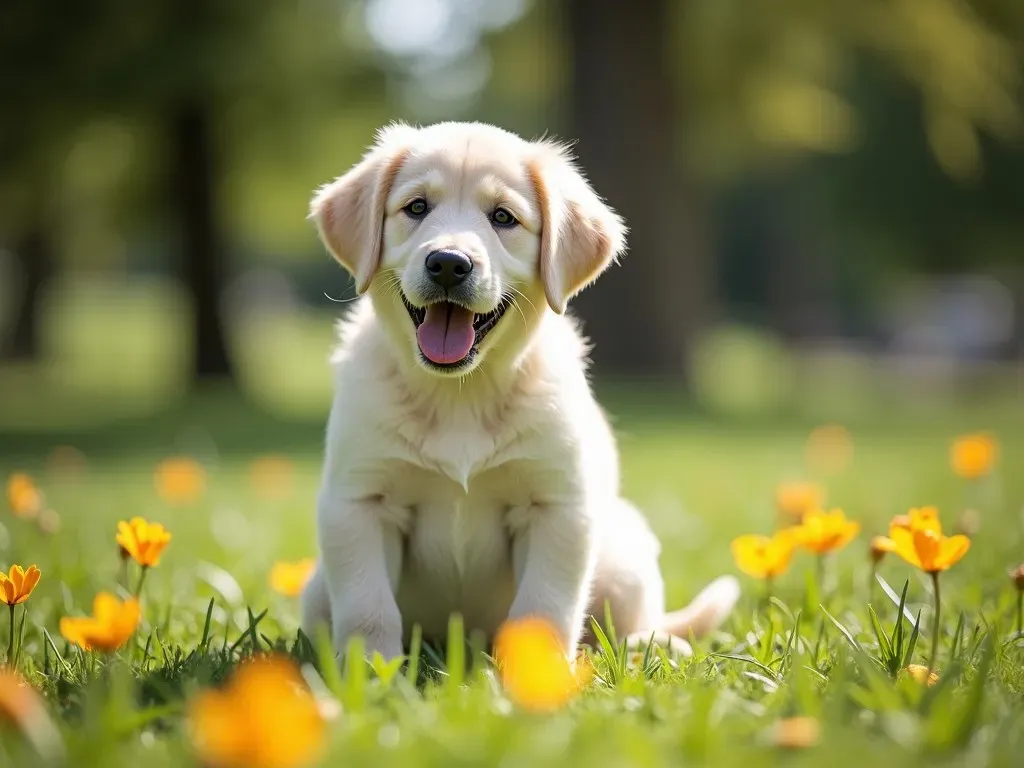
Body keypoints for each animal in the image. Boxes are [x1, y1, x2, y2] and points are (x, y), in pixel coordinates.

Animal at [299, 120, 741, 663]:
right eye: (417, 208)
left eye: (503, 217)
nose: (449, 263)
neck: (460, 395)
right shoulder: (359, 502)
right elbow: (368, 609)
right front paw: (370, 674)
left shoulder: (556, 508)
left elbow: (543, 610)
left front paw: (534, 674)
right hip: (316, 586)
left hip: (623, 551)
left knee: (630, 626)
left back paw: (649, 647)